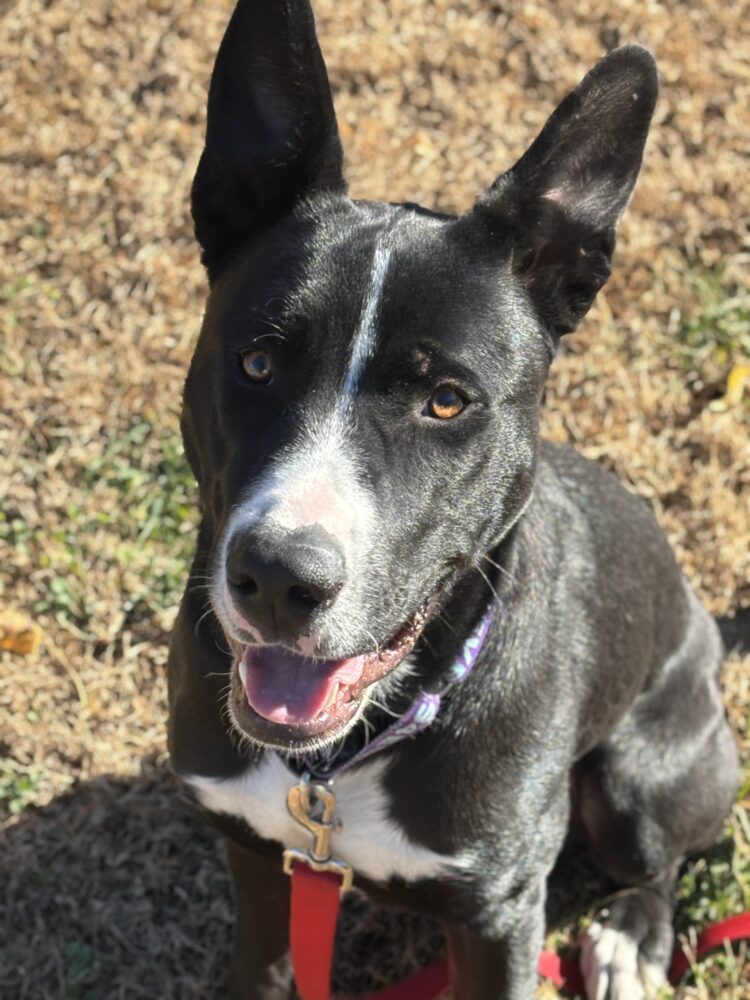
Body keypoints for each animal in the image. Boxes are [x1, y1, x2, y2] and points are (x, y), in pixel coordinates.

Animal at [167, 1, 739, 997]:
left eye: (446, 400)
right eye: (257, 361)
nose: (277, 578)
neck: (333, 768)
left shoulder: (498, 917)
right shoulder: (253, 852)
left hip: (642, 778)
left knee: (661, 857)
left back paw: (632, 934)